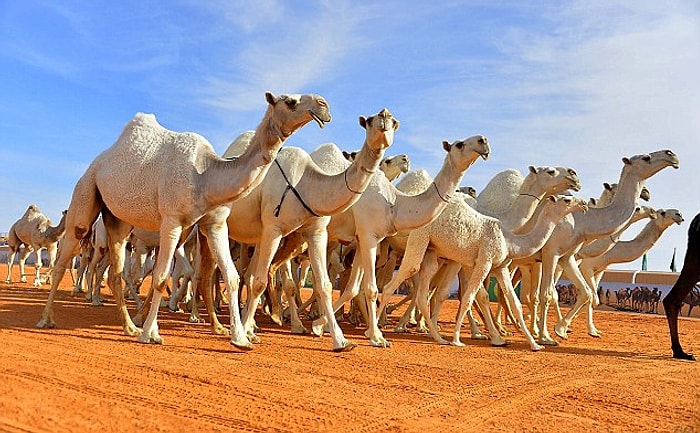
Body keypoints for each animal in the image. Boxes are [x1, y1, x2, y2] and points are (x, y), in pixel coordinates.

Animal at [37, 91, 332, 352]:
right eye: (289, 101)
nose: (324, 105)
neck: (205, 175)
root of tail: (99, 160)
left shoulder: (214, 224)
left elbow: (232, 276)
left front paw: (240, 339)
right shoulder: (172, 220)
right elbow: (160, 277)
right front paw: (150, 334)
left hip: (117, 219)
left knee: (116, 271)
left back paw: (129, 326)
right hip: (86, 190)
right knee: (65, 257)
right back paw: (47, 319)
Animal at [380, 194, 588, 350]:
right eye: (566, 200)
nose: (584, 204)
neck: (509, 240)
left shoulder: (500, 267)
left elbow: (514, 302)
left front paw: (535, 344)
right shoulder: (484, 262)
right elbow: (469, 297)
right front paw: (458, 339)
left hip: (432, 251)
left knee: (424, 292)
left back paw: (439, 338)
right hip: (420, 238)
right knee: (395, 281)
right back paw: (378, 333)